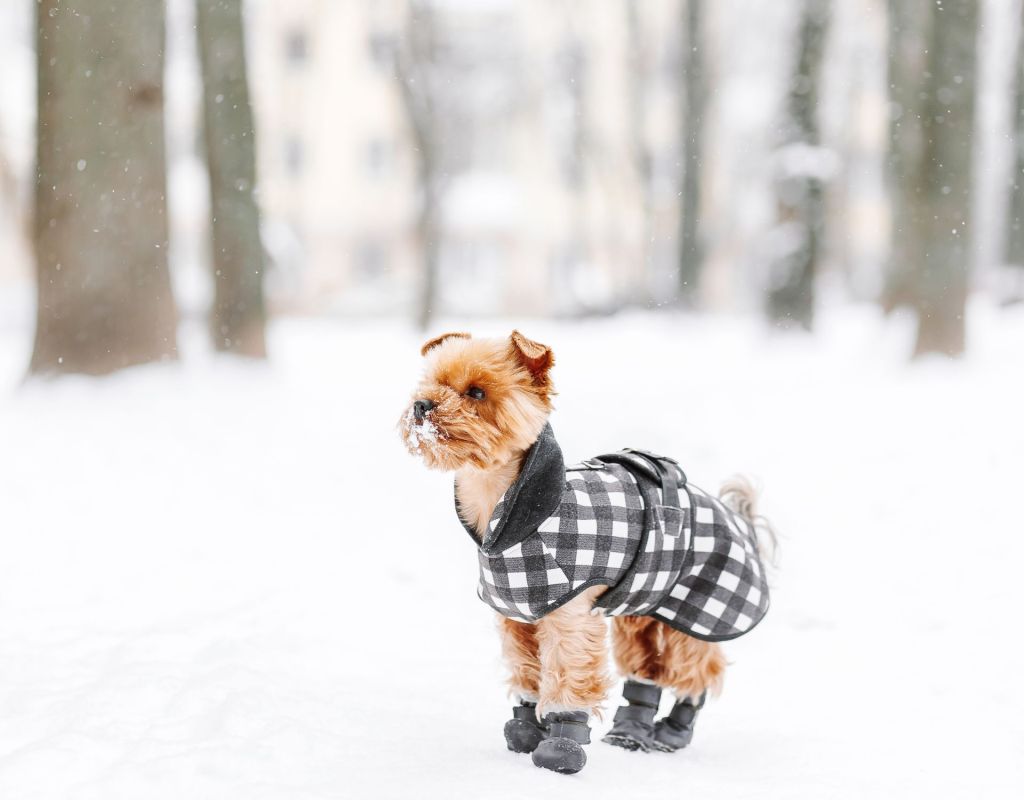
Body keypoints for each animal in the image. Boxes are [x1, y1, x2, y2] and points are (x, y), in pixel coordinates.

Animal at [399, 329, 770, 774]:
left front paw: (561, 748)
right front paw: (525, 729)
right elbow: (527, 672)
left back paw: (672, 732)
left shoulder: (570, 617)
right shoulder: (517, 617)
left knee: (699, 672)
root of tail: (740, 521)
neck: (508, 511)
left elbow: (568, 675)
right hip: (642, 611)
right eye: (432, 382)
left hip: (693, 611)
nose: (422, 405)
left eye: (476, 392)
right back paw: (630, 733)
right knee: (646, 669)